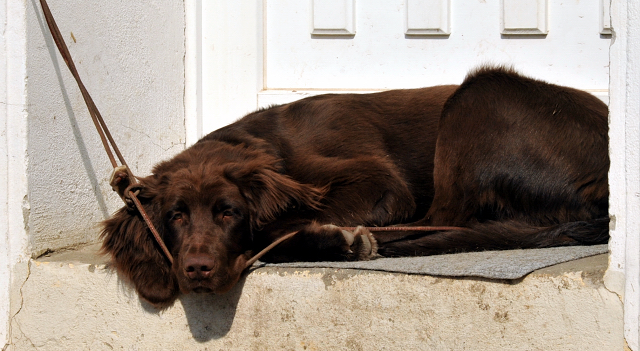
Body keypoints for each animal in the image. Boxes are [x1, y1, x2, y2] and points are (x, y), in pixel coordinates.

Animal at [101, 66, 608, 308]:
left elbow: (276, 227)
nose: (197, 271)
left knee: (443, 222)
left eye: (230, 212)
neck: (268, 144)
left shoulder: (380, 182)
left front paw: (333, 239)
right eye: (175, 216)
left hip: (479, 95)